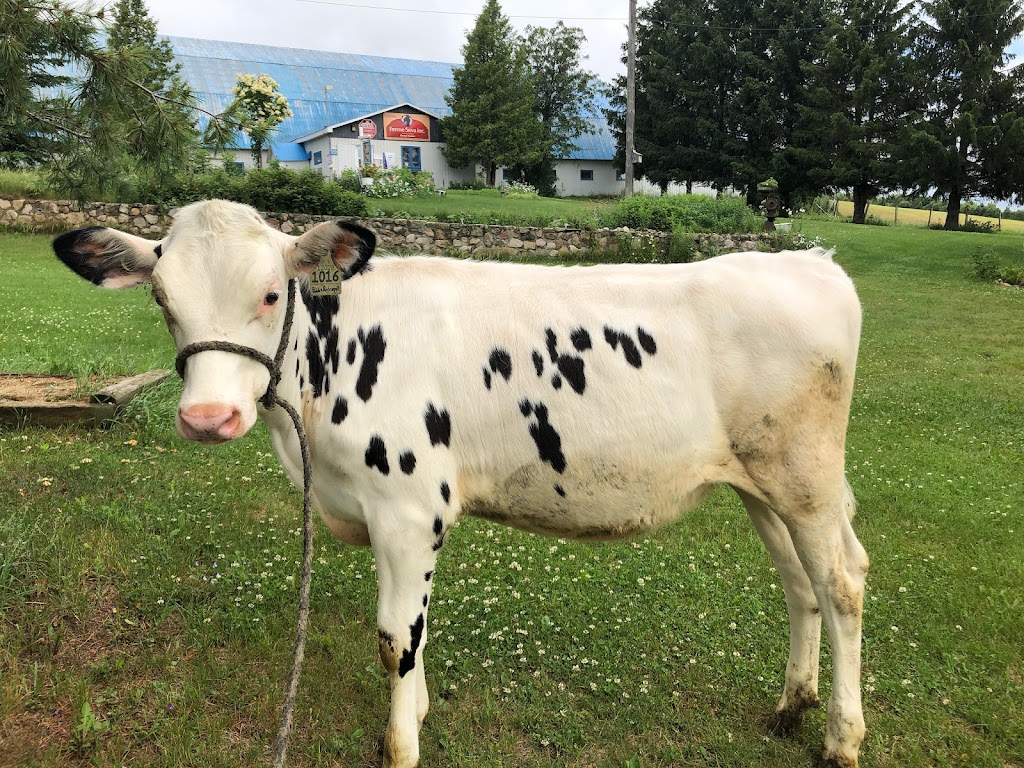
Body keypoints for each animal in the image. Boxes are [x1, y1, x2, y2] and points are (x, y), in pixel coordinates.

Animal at [56, 199, 868, 768]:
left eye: (269, 293)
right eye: (161, 297)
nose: (208, 416)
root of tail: (811, 260)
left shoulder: (407, 509)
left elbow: (394, 638)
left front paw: (401, 745)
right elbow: (415, 631)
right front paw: (416, 713)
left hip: (805, 478)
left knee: (841, 583)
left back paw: (840, 738)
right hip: (760, 483)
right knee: (798, 582)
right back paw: (791, 706)